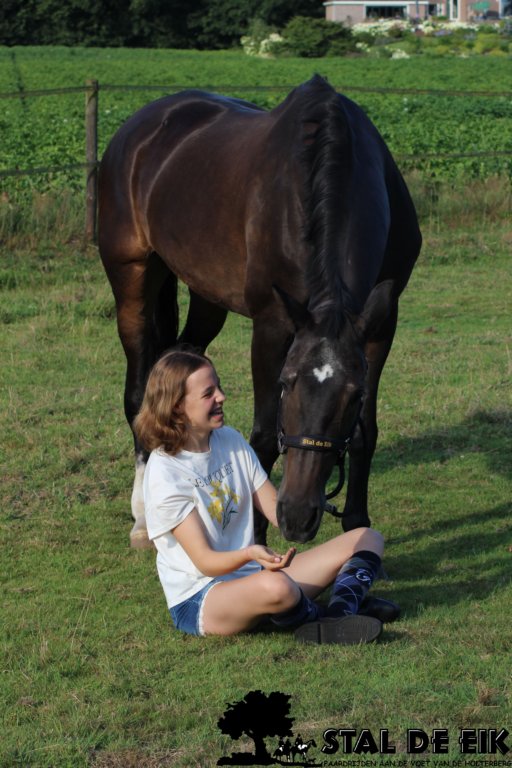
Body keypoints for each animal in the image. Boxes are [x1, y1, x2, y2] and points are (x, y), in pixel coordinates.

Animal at [97, 75, 421, 548]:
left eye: (354, 394)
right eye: (287, 382)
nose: (299, 515)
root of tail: (138, 127)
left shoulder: (382, 323)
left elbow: (365, 431)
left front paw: (357, 527)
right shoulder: (272, 324)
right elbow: (265, 436)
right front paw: (258, 540)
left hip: (206, 296)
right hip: (132, 277)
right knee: (139, 391)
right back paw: (143, 517)